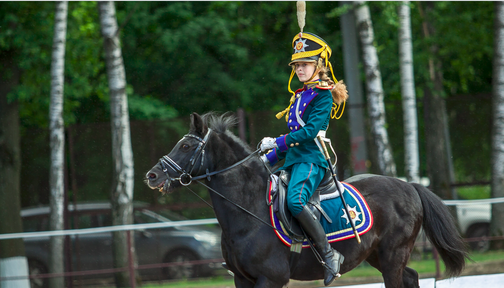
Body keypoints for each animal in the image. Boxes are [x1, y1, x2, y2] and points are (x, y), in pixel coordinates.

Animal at [146, 112, 468, 288]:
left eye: (186, 146)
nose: (152, 175)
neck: (248, 211)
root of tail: (410, 186)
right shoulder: (242, 279)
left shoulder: (271, 278)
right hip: (377, 255)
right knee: (411, 277)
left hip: (393, 255)